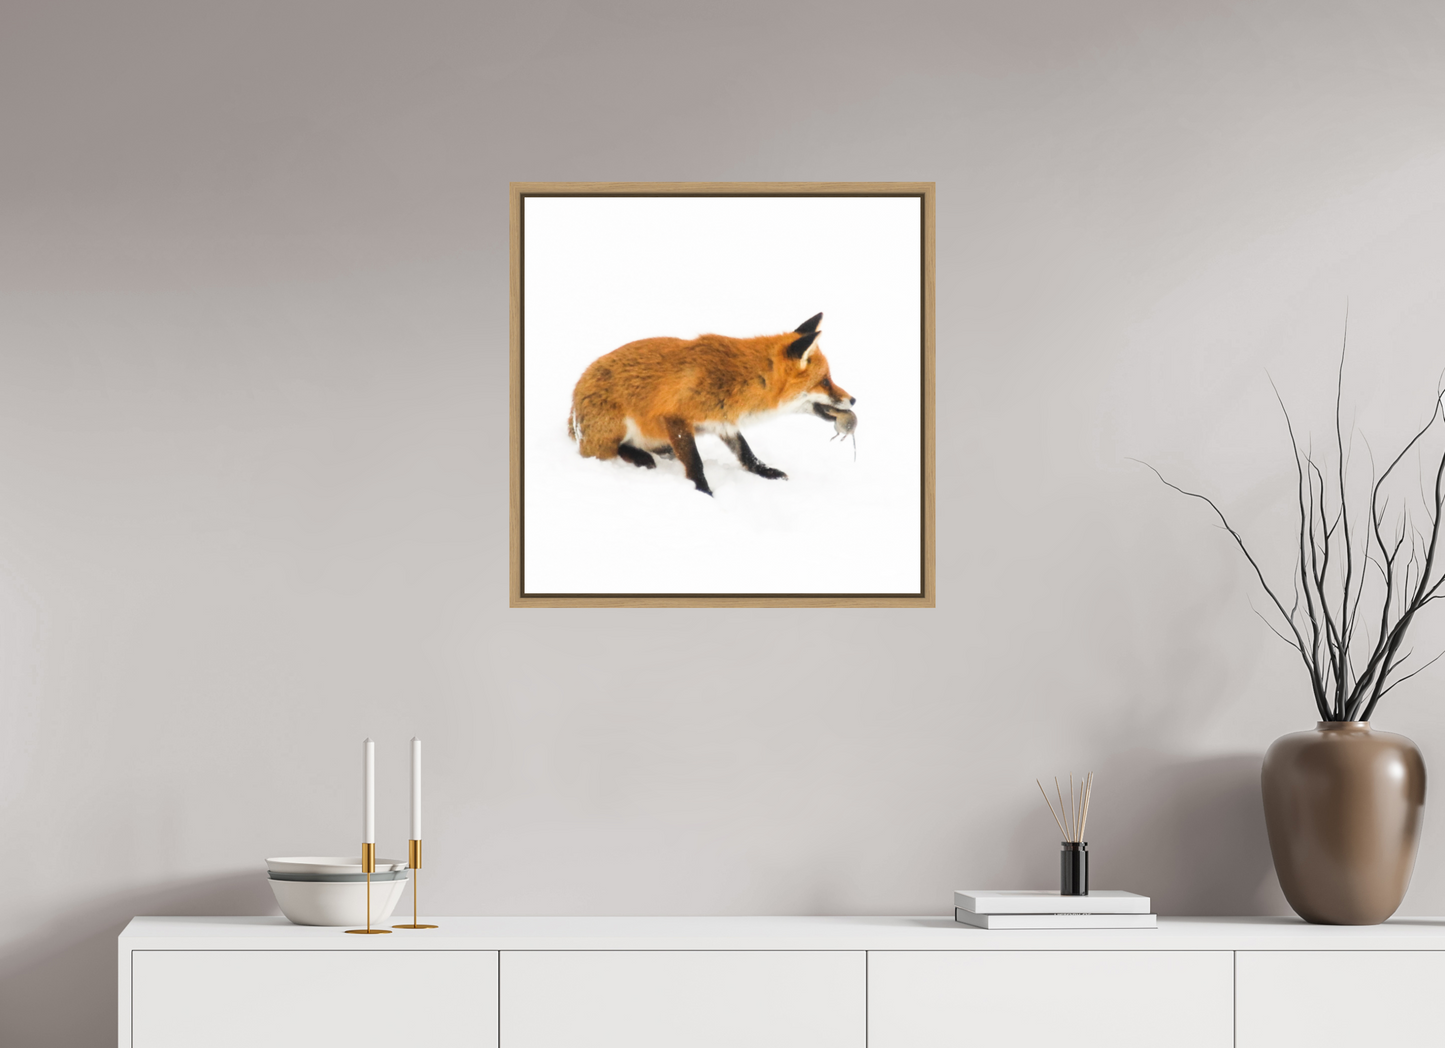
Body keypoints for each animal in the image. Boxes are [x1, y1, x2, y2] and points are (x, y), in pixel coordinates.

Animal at [567, 312, 856, 496]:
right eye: (825, 381)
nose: (854, 399)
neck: (740, 380)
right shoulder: (675, 417)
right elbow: (695, 463)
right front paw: (704, 492)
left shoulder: (723, 421)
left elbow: (746, 453)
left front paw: (765, 471)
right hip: (614, 429)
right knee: (607, 451)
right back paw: (639, 456)